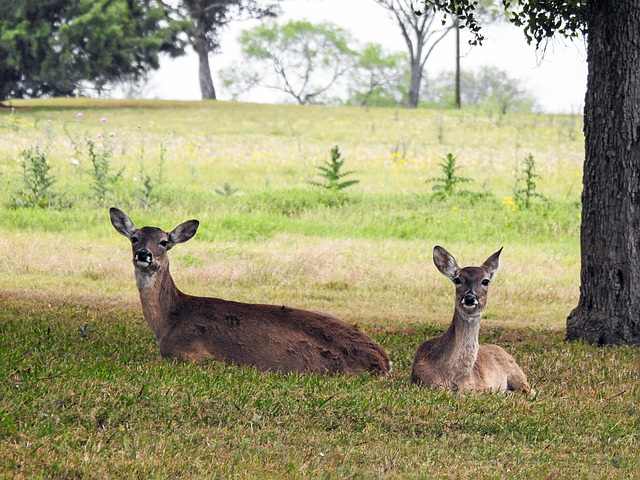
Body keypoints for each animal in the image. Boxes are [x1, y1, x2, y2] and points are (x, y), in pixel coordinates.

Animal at [109, 206, 390, 376]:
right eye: (134, 238)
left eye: (164, 242)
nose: (143, 254)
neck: (170, 319)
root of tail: (384, 362)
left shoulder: (190, 355)